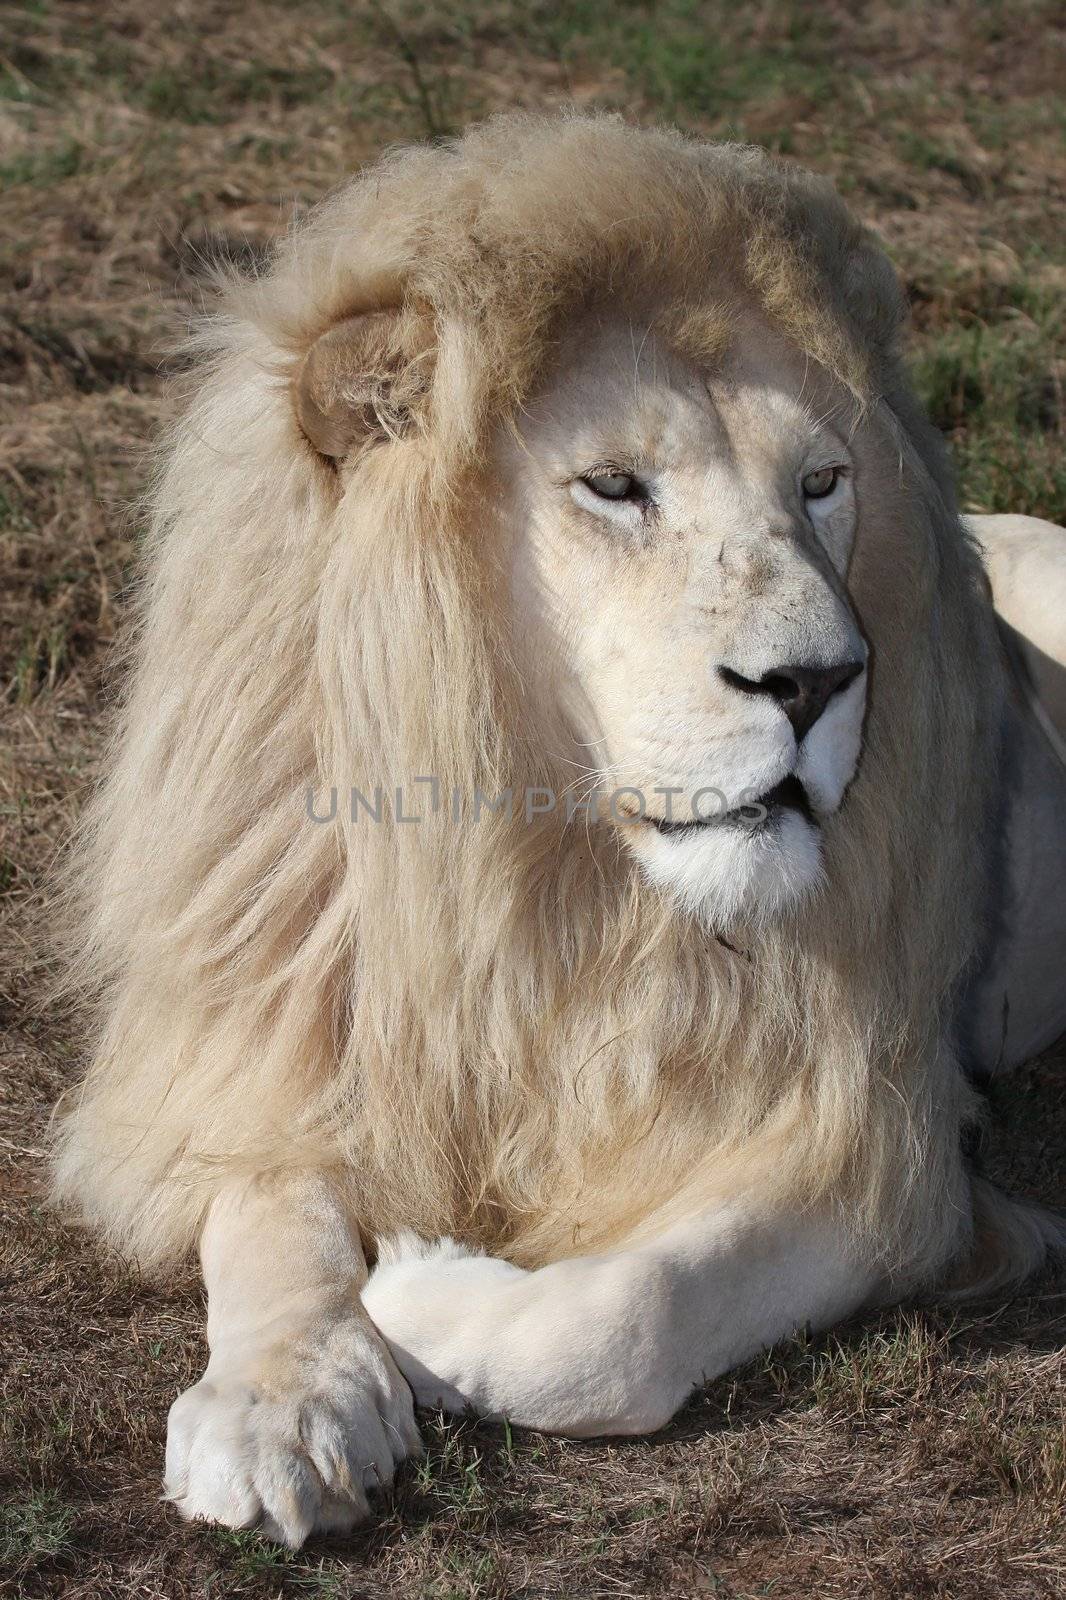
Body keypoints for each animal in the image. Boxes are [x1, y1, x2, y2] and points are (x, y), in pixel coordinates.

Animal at [52, 112, 1062, 1536]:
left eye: (821, 484)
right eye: (612, 485)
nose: (816, 681)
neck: (544, 872)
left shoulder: (883, 1142)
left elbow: (623, 1314)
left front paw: (419, 1288)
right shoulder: (278, 1029)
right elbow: (266, 1206)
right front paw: (281, 1406)